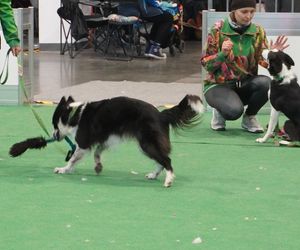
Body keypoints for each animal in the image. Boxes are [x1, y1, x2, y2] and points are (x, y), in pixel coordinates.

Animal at [52, 94, 204, 187]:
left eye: (54, 124)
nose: (53, 136)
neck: (74, 114)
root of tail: (161, 115)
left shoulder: (83, 143)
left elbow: (73, 158)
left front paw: (63, 169)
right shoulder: (106, 139)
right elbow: (97, 152)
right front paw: (98, 166)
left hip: (147, 143)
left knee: (167, 160)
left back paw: (168, 180)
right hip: (148, 144)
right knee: (162, 160)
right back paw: (153, 175)